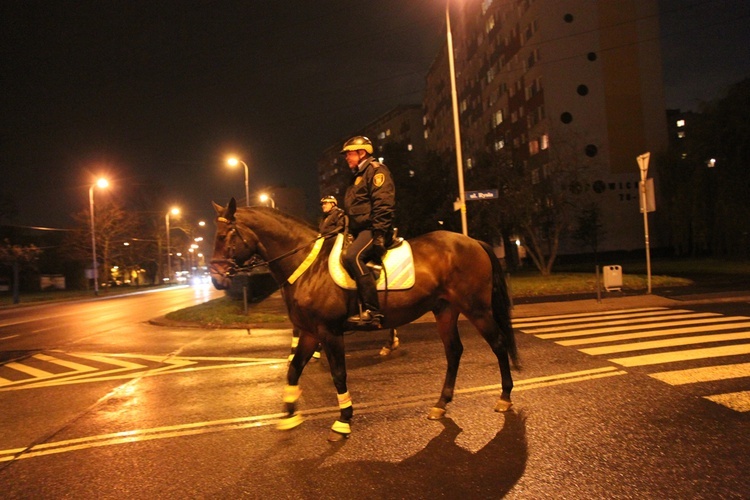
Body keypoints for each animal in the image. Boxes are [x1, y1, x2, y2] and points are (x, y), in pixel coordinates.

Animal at [209, 199, 520, 442]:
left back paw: (505, 397)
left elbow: (338, 374)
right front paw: (289, 414)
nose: (215, 279)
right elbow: (293, 370)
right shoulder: (310, 333)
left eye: (224, 235)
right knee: (454, 351)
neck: (309, 266)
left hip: (477, 309)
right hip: (445, 310)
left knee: (499, 344)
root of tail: (474, 241)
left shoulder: (329, 332)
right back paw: (441, 403)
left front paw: (343, 420)